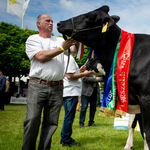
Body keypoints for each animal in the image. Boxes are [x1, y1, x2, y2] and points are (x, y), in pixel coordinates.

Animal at [57, 5, 150, 149]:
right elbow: (134, 125)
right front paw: (128, 145)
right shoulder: (134, 99)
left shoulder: (145, 98)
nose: (59, 23)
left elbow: (146, 132)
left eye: (89, 16)